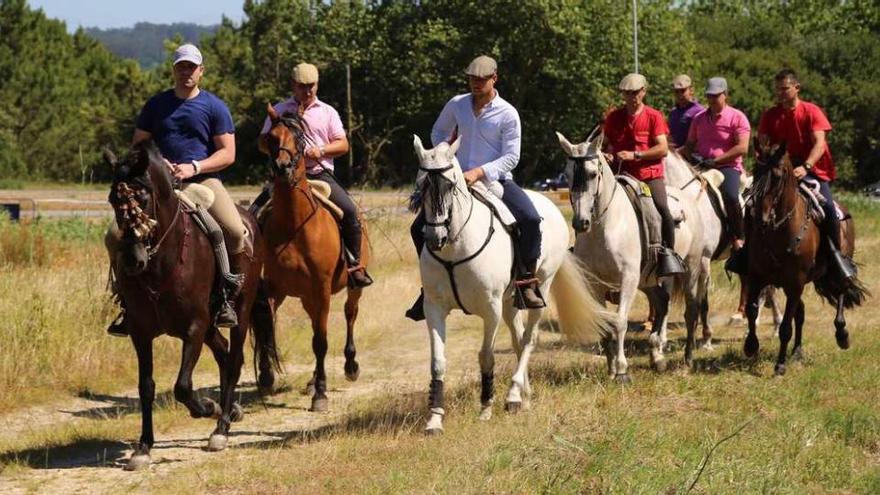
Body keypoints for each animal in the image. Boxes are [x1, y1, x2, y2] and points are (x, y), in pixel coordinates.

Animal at [106, 141, 272, 470]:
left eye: (143, 198)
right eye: (113, 200)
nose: (132, 261)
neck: (160, 263)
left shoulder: (194, 328)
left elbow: (182, 386)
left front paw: (206, 407)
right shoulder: (141, 332)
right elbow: (146, 386)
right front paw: (143, 448)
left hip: (239, 312)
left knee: (234, 359)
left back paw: (221, 428)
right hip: (210, 326)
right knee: (223, 353)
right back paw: (230, 411)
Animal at [256, 106, 366, 412]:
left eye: (300, 138)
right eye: (271, 137)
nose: (283, 167)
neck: (294, 225)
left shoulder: (322, 288)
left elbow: (321, 342)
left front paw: (321, 394)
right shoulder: (273, 288)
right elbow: (266, 329)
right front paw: (266, 377)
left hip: (352, 287)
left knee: (350, 314)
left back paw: (350, 366)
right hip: (305, 297)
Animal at [414, 136, 612, 434]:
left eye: (449, 185)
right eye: (420, 185)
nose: (435, 238)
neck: (455, 249)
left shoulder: (490, 309)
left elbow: (486, 355)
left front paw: (485, 408)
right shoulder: (434, 308)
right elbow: (437, 362)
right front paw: (435, 418)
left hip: (540, 287)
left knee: (529, 339)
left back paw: (513, 395)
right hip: (510, 301)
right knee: (519, 340)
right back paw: (523, 396)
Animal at [556, 130, 708, 378]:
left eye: (592, 174)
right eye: (567, 174)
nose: (581, 222)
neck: (606, 226)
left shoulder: (627, 278)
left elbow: (619, 322)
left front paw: (621, 369)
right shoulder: (595, 283)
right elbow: (604, 324)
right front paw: (610, 368)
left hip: (692, 268)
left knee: (691, 310)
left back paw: (688, 359)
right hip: (647, 280)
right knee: (662, 302)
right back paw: (657, 356)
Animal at [744, 141, 868, 374]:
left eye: (777, 176)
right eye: (756, 172)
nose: (759, 218)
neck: (778, 229)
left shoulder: (795, 282)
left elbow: (785, 326)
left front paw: (780, 365)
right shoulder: (758, 276)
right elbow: (751, 310)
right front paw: (750, 345)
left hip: (832, 270)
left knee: (840, 293)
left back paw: (842, 335)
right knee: (800, 314)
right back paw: (797, 352)